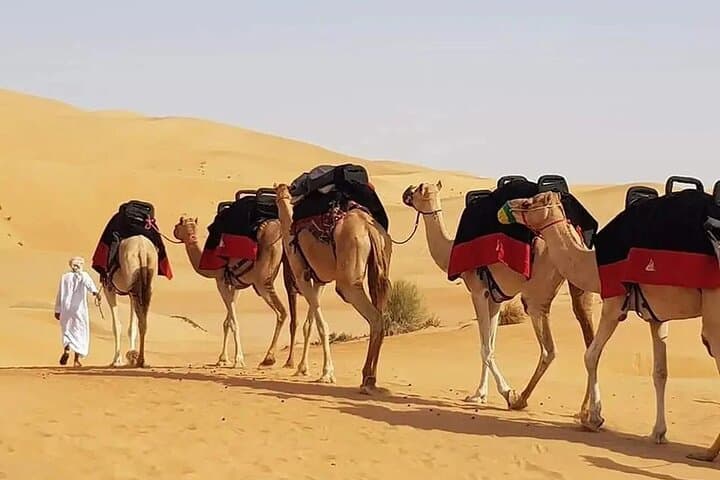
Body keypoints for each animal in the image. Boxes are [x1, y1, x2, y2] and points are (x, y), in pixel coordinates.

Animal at [101, 235, 157, 368]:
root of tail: (142, 248)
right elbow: (132, 326)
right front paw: (130, 355)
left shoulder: (108, 289)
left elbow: (117, 325)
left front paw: (116, 360)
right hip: (146, 282)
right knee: (143, 320)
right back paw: (141, 359)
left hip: (131, 279)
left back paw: (138, 359)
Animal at [172, 215, 299, 369]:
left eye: (177, 225)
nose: (174, 231)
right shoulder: (235, 285)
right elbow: (227, 321)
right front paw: (223, 359)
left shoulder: (220, 281)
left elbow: (233, 322)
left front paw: (238, 360)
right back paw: (290, 362)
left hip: (262, 281)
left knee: (281, 312)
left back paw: (269, 358)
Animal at [273, 183, 392, 394]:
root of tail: (369, 227)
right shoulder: (319, 280)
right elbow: (309, 324)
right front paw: (303, 368)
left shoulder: (301, 275)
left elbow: (321, 325)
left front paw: (326, 373)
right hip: (381, 266)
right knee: (381, 315)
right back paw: (372, 378)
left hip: (348, 280)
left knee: (375, 318)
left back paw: (367, 379)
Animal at [402, 181, 596, 410]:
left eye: (417, 189)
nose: (406, 192)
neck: (450, 250)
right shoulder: (495, 298)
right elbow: (491, 344)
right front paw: (480, 394)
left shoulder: (478, 291)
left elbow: (485, 348)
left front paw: (506, 392)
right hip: (579, 284)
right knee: (589, 338)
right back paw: (585, 410)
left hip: (536, 294)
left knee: (549, 349)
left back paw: (520, 399)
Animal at [497, 189, 720, 461]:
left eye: (529, 203)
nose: (504, 208)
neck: (593, 266)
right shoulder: (656, 316)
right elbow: (660, 372)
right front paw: (658, 433)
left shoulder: (613, 303)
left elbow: (590, 356)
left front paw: (593, 419)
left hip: (713, 310)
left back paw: (707, 453)